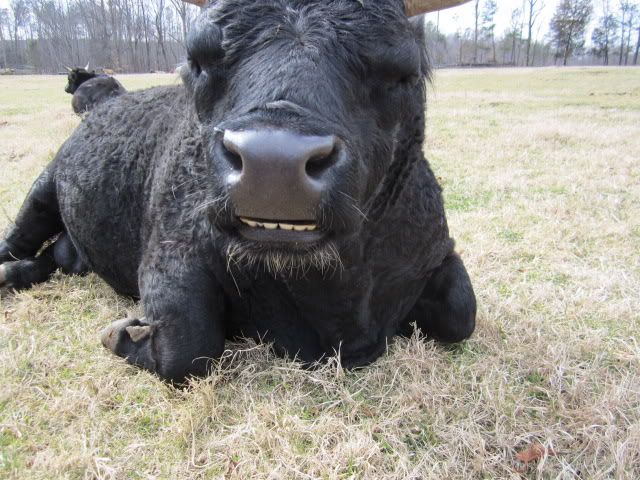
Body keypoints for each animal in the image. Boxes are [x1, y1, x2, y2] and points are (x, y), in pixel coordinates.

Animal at [0, 0, 476, 383]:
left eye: (401, 70)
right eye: (198, 59)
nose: (273, 166)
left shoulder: (433, 252)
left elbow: (462, 312)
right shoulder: (170, 255)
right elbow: (187, 349)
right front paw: (121, 335)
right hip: (43, 189)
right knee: (17, 240)